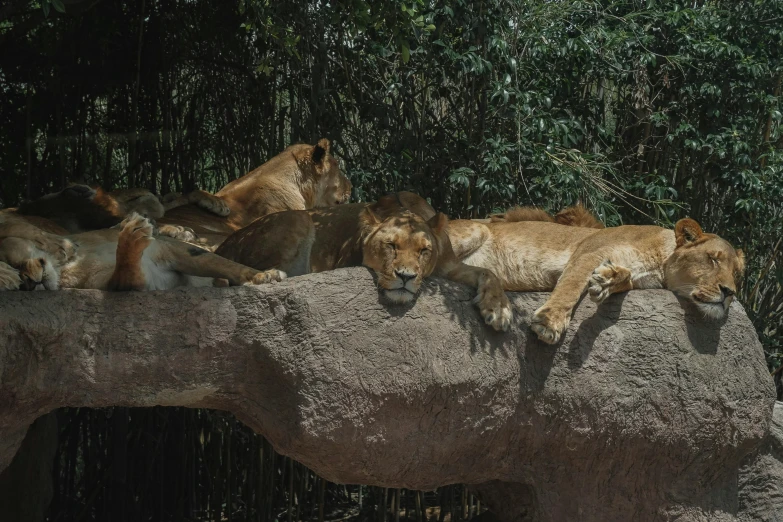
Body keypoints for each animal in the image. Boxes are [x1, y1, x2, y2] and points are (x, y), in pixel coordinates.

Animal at [214, 193, 516, 332]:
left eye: (424, 251)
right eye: (391, 246)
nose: (406, 277)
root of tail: (224, 243)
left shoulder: (449, 266)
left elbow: (489, 273)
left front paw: (498, 310)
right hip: (296, 219)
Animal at [448, 213, 748, 344]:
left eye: (737, 275)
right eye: (712, 259)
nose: (729, 292)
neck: (659, 262)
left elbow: (624, 276)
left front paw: (606, 281)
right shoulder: (588, 252)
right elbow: (570, 287)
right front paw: (549, 323)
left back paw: (494, 304)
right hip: (473, 230)